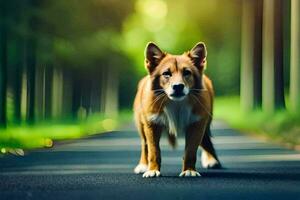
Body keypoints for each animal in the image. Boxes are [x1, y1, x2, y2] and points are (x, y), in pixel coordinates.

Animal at [133, 41, 220, 177]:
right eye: (166, 73)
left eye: (187, 72)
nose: (178, 86)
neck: (176, 104)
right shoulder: (152, 124)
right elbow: (153, 151)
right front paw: (152, 170)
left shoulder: (197, 124)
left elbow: (190, 152)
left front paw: (189, 170)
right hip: (141, 125)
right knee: (144, 144)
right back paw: (143, 165)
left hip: (206, 123)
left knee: (206, 141)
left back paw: (212, 160)